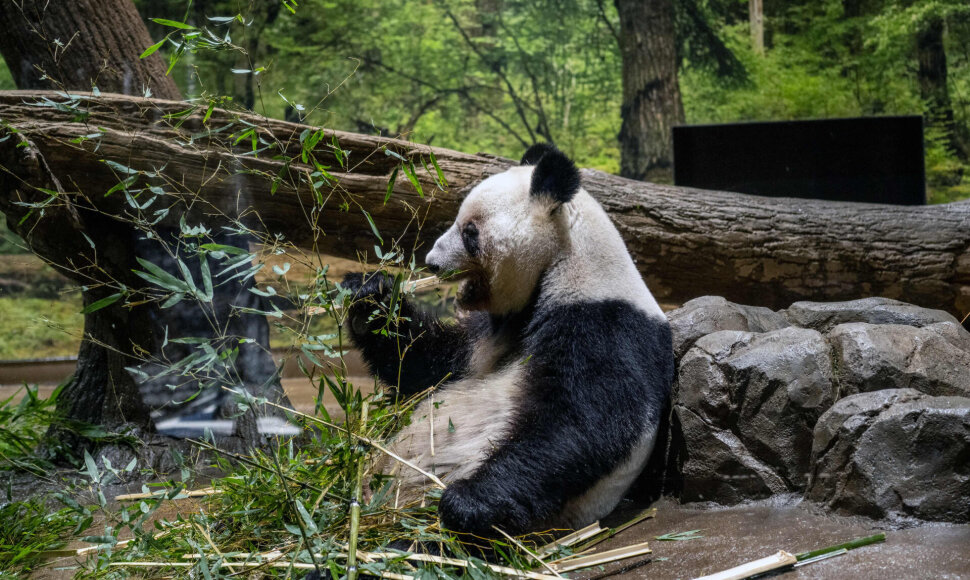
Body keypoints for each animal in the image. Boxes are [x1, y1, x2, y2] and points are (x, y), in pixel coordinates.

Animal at [342, 143, 673, 537]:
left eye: (470, 231)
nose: (432, 262)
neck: (563, 263)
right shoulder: (491, 332)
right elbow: (429, 367)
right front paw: (368, 296)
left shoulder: (604, 323)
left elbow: (586, 423)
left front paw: (466, 502)